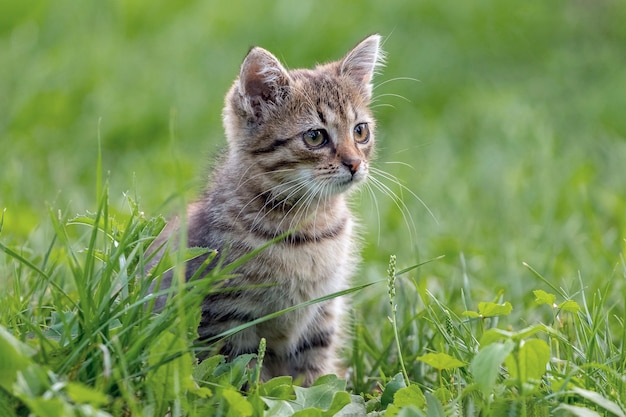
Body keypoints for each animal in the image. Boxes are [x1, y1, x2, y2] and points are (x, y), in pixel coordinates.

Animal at [151, 34, 382, 386]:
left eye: (360, 131)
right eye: (315, 136)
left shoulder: (322, 313)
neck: (307, 227)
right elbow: (241, 375)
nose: (355, 163)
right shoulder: (226, 317)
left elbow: (314, 373)